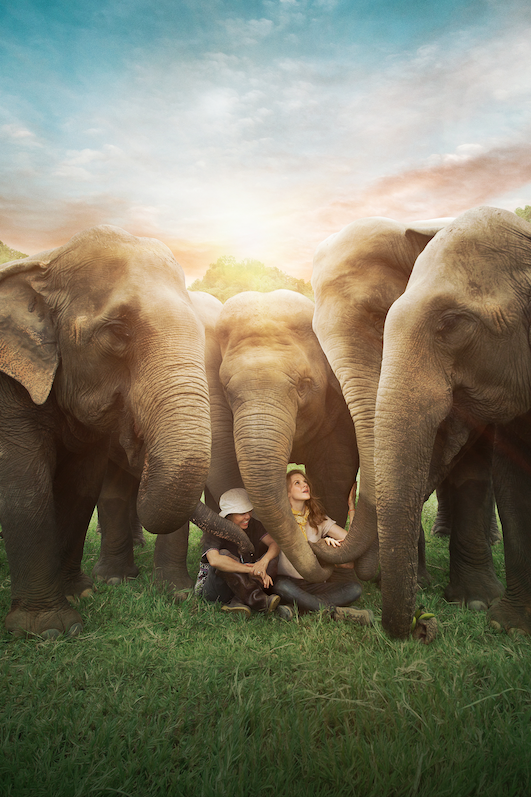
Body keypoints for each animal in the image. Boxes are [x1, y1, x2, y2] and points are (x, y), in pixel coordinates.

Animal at [0, 225, 214, 637]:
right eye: (118, 331)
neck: (46, 261)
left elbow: (83, 485)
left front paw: (82, 593)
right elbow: (24, 484)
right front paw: (49, 630)